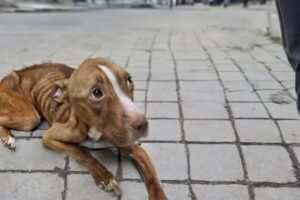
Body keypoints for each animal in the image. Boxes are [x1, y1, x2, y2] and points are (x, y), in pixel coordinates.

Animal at [0, 57, 166, 199]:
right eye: (96, 92)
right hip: (30, 117)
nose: (142, 124)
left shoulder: (137, 150)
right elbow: (81, 153)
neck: (95, 131)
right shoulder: (48, 137)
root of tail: (14, 72)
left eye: (129, 80)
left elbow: (153, 179)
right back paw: (8, 138)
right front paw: (105, 177)